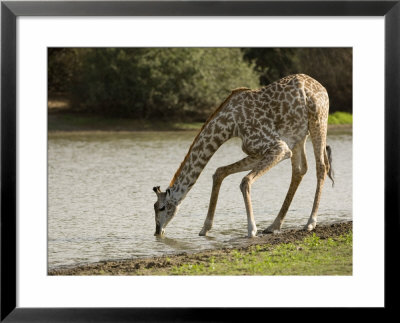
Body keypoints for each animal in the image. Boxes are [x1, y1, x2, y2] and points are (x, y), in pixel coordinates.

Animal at [153, 74, 334, 239]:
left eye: (161, 207)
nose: (157, 231)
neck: (230, 125)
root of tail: (322, 87)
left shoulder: (279, 148)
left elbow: (245, 181)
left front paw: (251, 230)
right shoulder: (256, 152)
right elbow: (219, 172)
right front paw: (205, 229)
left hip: (318, 121)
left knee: (321, 167)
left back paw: (310, 223)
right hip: (298, 136)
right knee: (299, 169)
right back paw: (274, 225)